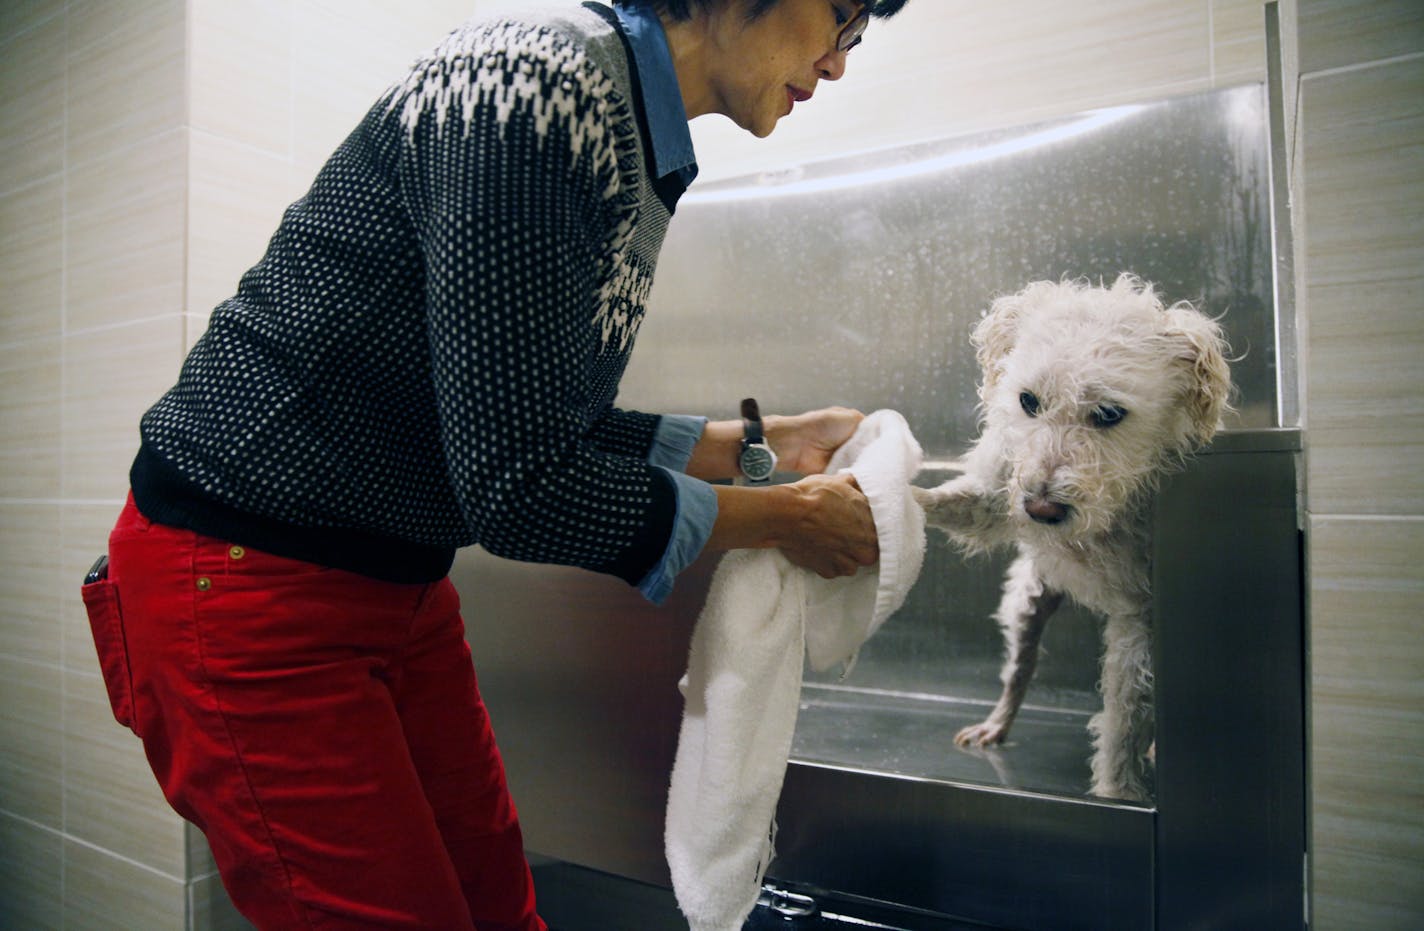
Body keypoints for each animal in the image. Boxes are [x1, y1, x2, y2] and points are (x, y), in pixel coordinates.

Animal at [911, 274, 1236, 802]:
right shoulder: (995, 492)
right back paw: (996, 724)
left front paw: (1119, 791)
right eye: (1029, 401)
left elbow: (1124, 722)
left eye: (1108, 413)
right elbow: (958, 502)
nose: (1040, 509)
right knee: (1020, 668)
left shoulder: (1139, 626)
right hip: (1028, 601)